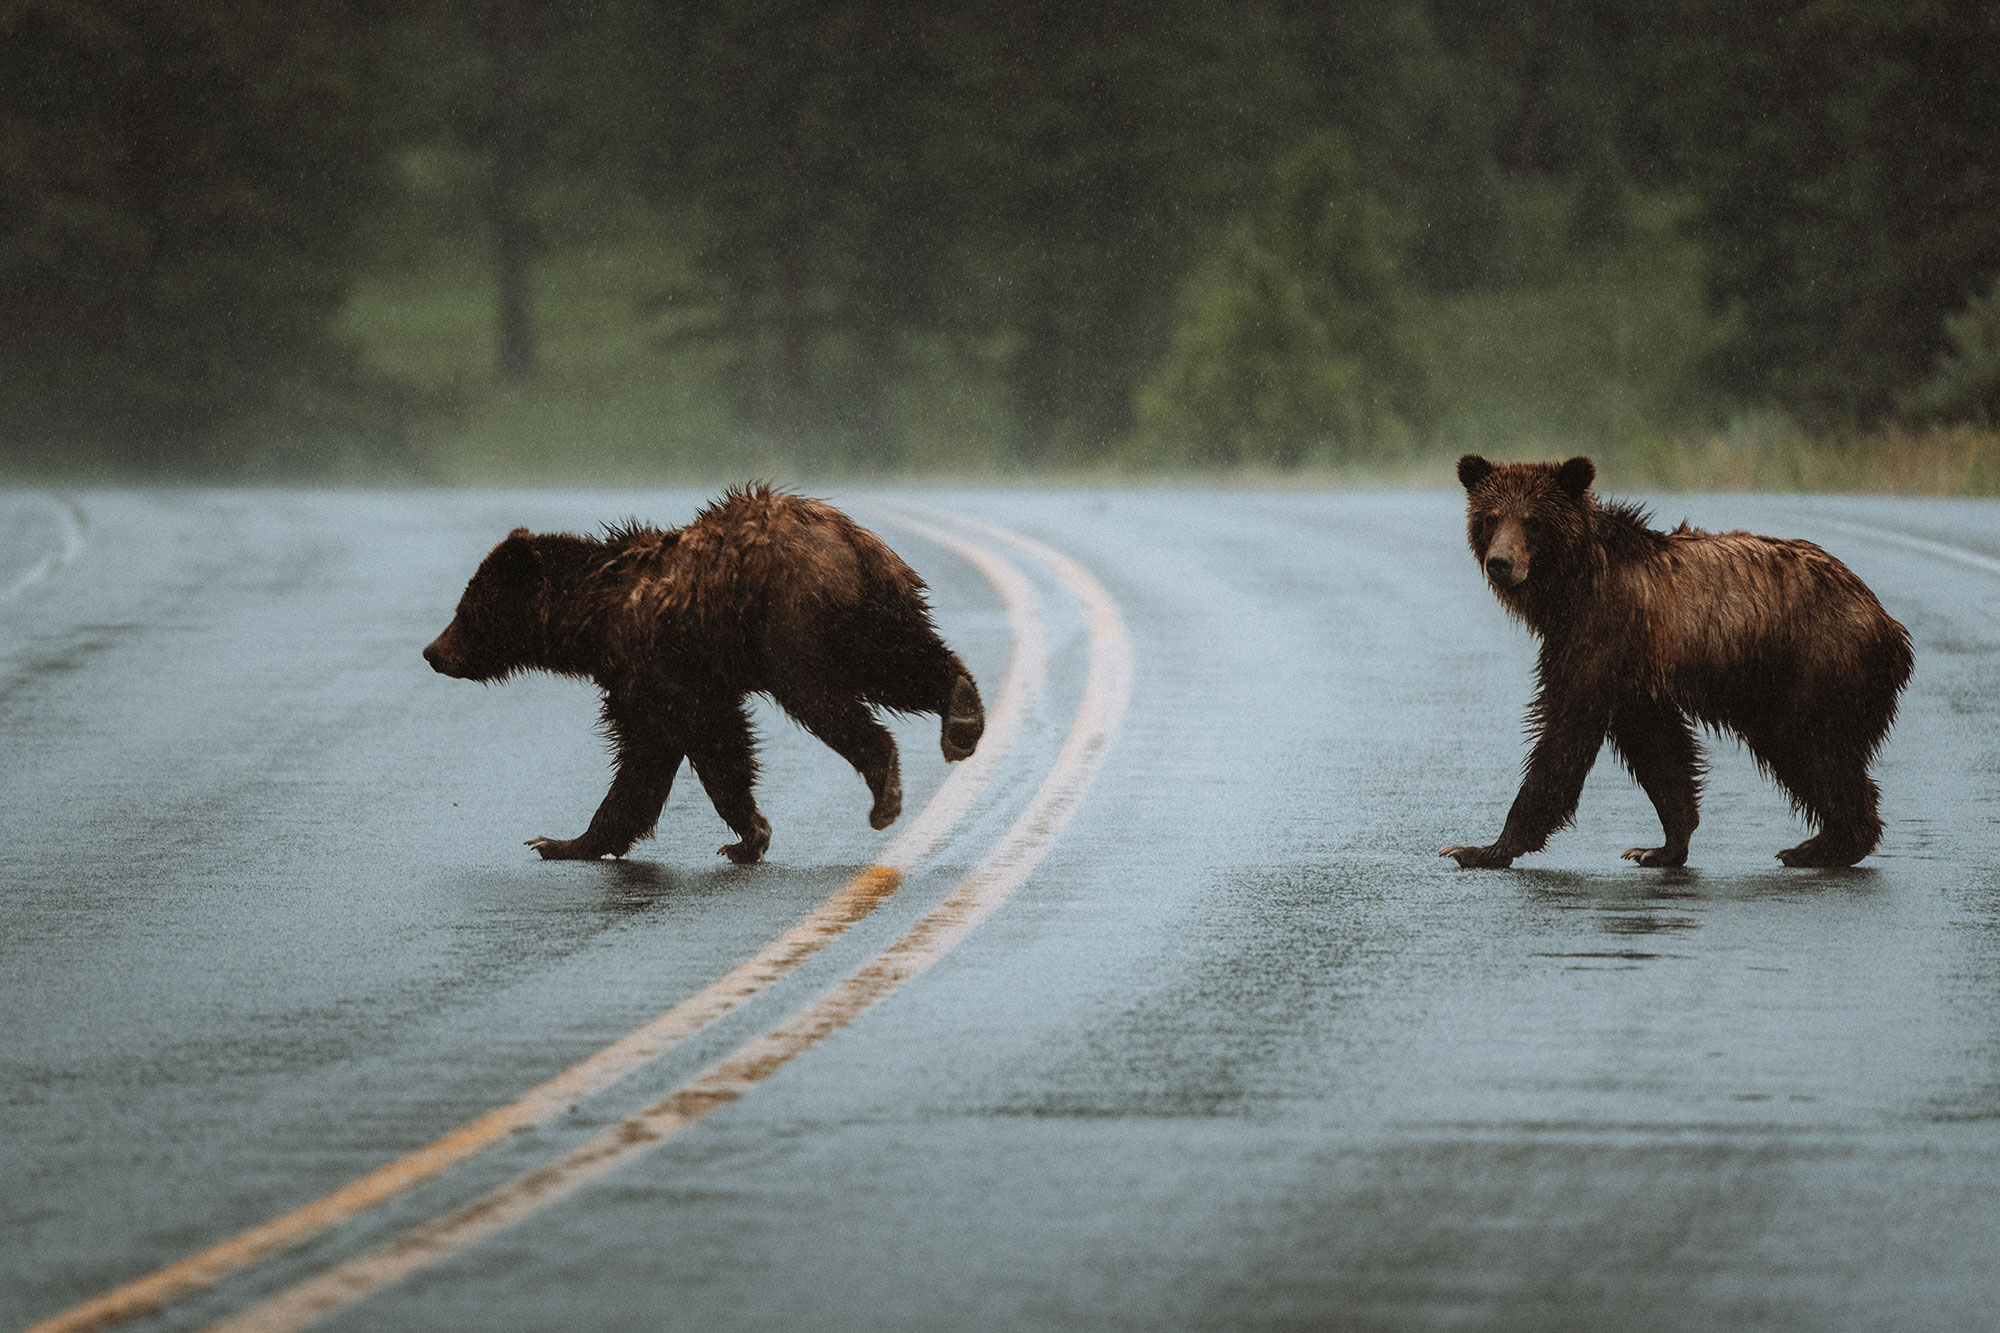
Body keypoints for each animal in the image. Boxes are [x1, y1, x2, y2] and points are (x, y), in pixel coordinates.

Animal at [422, 485, 986, 863]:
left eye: (465, 611)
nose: (432, 652)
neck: (593, 617)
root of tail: (846, 537)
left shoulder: (655, 666)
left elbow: (673, 748)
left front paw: (559, 841)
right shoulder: (681, 674)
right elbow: (694, 747)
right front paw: (747, 835)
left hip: (793, 623)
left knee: (824, 698)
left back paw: (884, 786)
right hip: (879, 609)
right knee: (902, 662)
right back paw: (961, 716)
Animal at [1440, 455, 1912, 870]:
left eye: (1532, 520)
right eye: (1491, 517)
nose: (1500, 563)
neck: (1571, 586)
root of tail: (1887, 621)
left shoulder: (1602, 634)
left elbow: (1566, 728)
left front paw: (1480, 848)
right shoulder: (1636, 673)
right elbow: (1659, 750)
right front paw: (1661, 848)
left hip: (1816, 664)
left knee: (1813, 747)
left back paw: (1818, 847)